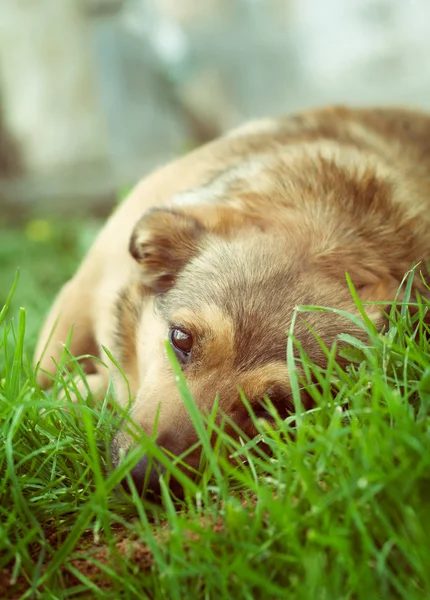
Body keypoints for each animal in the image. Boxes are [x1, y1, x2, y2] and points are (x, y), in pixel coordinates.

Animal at [35, 105, 430, 494]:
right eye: (181, 338)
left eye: (275, 407)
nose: (143, 478)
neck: (335, 239)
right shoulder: (83, 289)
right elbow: (44, 369)